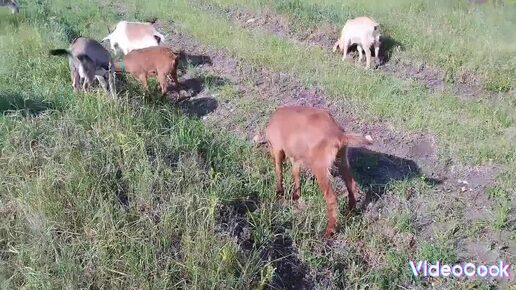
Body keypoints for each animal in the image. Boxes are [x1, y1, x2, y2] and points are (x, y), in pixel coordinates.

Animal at [262, 106, 370, 238]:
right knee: (352, 185)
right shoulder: (296, 159)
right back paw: (350, 213)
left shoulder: (278, 149)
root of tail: (338, 134)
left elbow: (279, 172)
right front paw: (296, 195)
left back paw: (330, 230)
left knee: (331, 198)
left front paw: (279, 192)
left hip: (320, 169)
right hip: (342, 161)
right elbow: (296, 174)